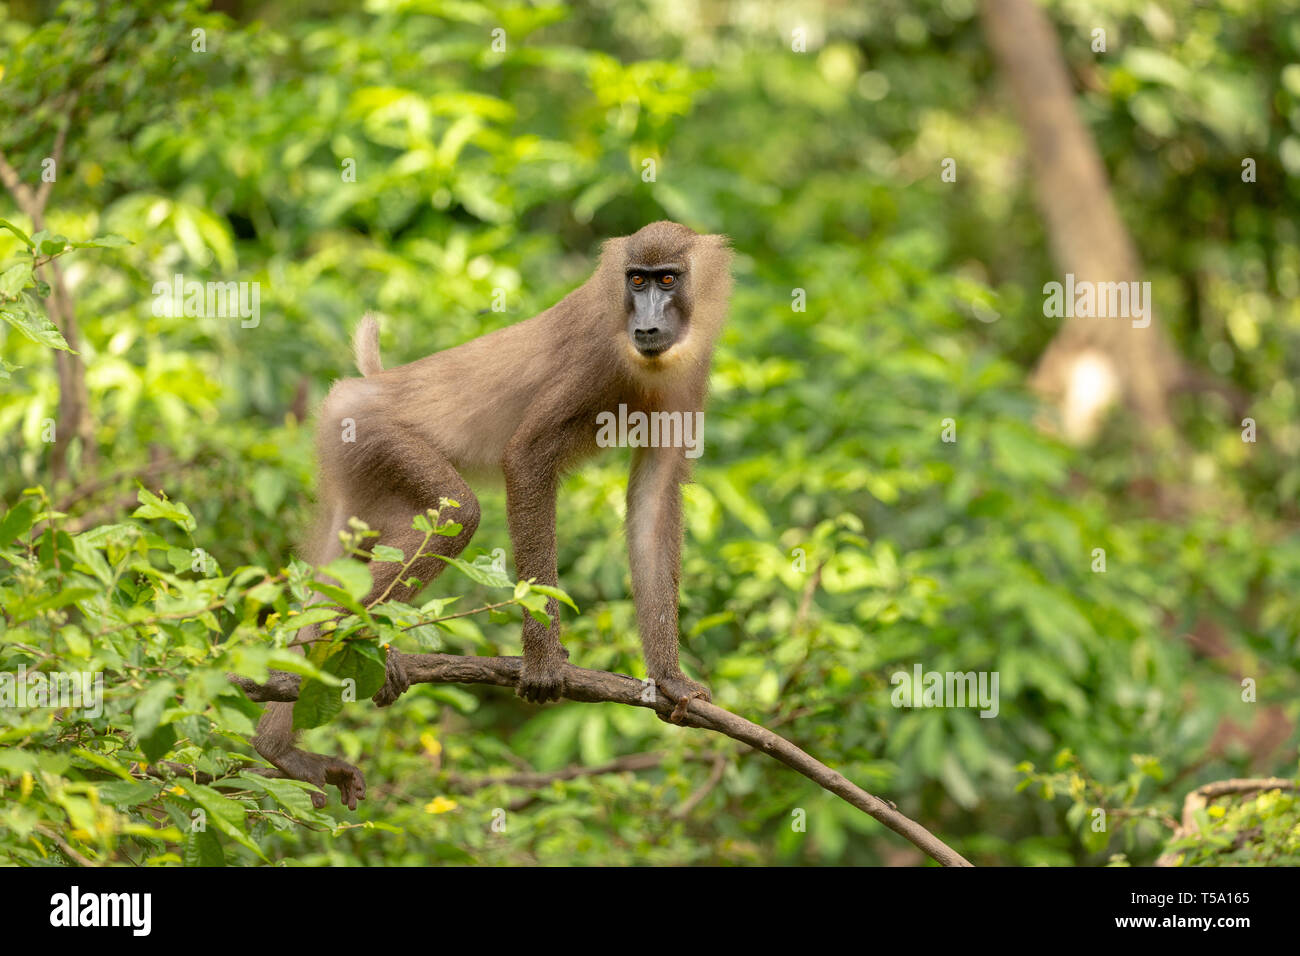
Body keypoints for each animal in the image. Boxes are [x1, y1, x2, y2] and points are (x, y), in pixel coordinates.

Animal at [250, 222, 733, 806]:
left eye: (667, 279)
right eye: (636, 280)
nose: (646, 322)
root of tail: (359, 388)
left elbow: (653, 503)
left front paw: (668, 678)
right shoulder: (596, 359)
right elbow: (525, 458)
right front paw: (544, 663)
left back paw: (282, 740)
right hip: (376, 437)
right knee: (458, 515)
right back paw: (324, 669)